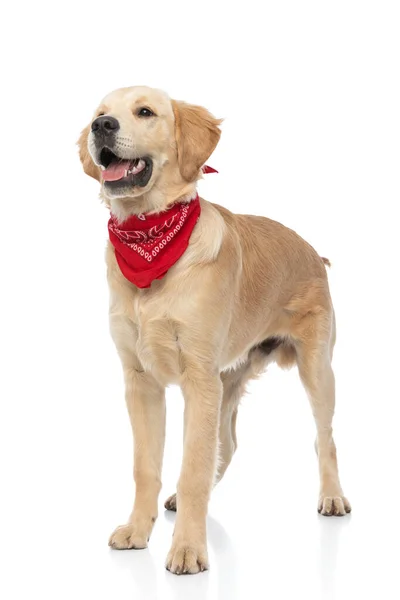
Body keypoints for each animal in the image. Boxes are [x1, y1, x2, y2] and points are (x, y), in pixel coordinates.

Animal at [77, 85, 350, 576]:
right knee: (229, 443)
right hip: (228, 379)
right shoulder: (142, 381)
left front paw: (187, 548)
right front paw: (138, 530)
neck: (152, 239)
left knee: (325, 439)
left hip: (316, 369)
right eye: (100, 113)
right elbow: (149, 466)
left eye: (144, 112)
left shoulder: (197, 379)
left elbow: (193, 467)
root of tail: (311, 250)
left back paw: (333, 497)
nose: (101, 127)